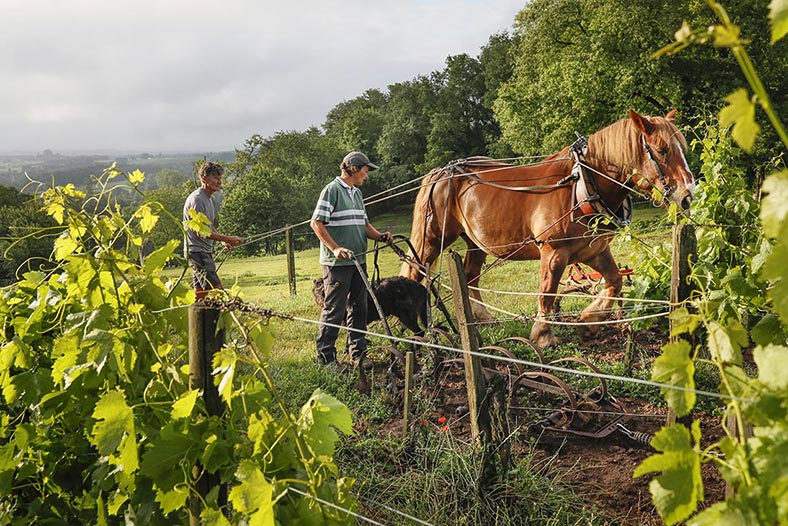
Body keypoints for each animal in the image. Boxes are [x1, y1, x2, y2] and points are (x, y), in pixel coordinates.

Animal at [404, 110, 692, 350]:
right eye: (662, 149)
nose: (688, 196)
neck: (581, 185)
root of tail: (443, 171)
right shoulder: (553, 252)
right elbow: (547, 293)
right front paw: (543, 335)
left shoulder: (594, 251)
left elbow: (614, 282)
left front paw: (588, 323)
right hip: (432, 239)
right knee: (415, 272)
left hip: (475, 242)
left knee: (470, 276)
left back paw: (482, 318)